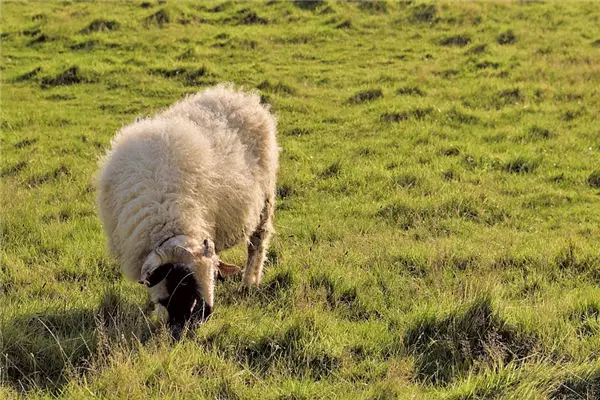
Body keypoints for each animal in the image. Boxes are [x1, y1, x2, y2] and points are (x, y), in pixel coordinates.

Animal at [96, 85, 278, 338]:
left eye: (214, 276)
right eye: (182, 281)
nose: (204, 316)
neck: (166, 215)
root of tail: (238, 95)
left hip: (265, 202)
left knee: (257, 245)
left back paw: (250, 282)